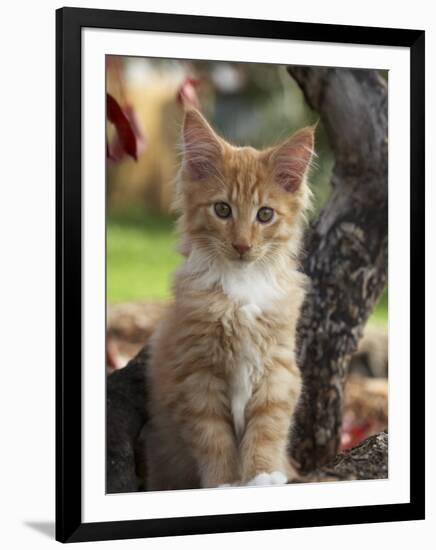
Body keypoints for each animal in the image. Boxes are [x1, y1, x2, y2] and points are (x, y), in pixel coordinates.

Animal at [146, 109, 314, 492]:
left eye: (265, 214)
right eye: (222, 209)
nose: (242, 245)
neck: (241, 288)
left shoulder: (278, 370)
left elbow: (267, 430)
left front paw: (262, 476)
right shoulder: (196, 375)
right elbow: (213, 437)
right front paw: (224, 483)